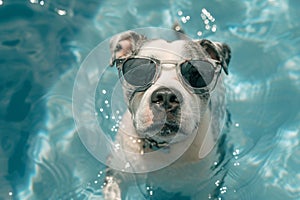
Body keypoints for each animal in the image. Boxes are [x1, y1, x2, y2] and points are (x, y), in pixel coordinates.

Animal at [102, 28, 231, 199]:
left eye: (195, 73)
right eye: (140, 71)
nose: (166, 96)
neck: (163, 147)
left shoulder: (206, 187)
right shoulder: (116, 176)